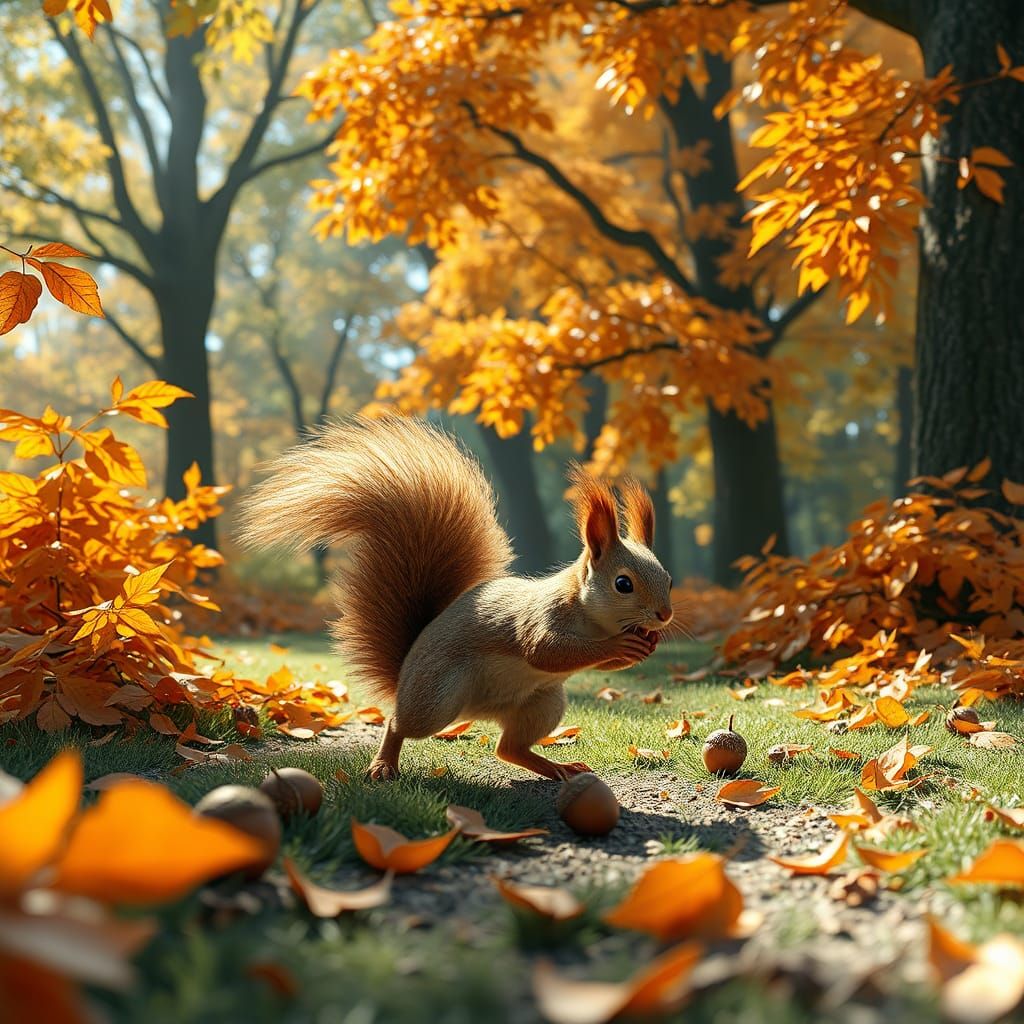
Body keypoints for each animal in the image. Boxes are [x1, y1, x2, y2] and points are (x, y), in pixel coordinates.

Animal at [240, 416, 674, 782]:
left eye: (668, 579)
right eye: (623, 584)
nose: (664, 615)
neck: (593, 620)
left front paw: (643, 646)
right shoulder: (541, 618)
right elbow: (545, 652)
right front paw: (621, 645)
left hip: (542, 702)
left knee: (508, 749)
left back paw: (556, 768)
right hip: (435, 699)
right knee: (400, 723)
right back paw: (384, 764)